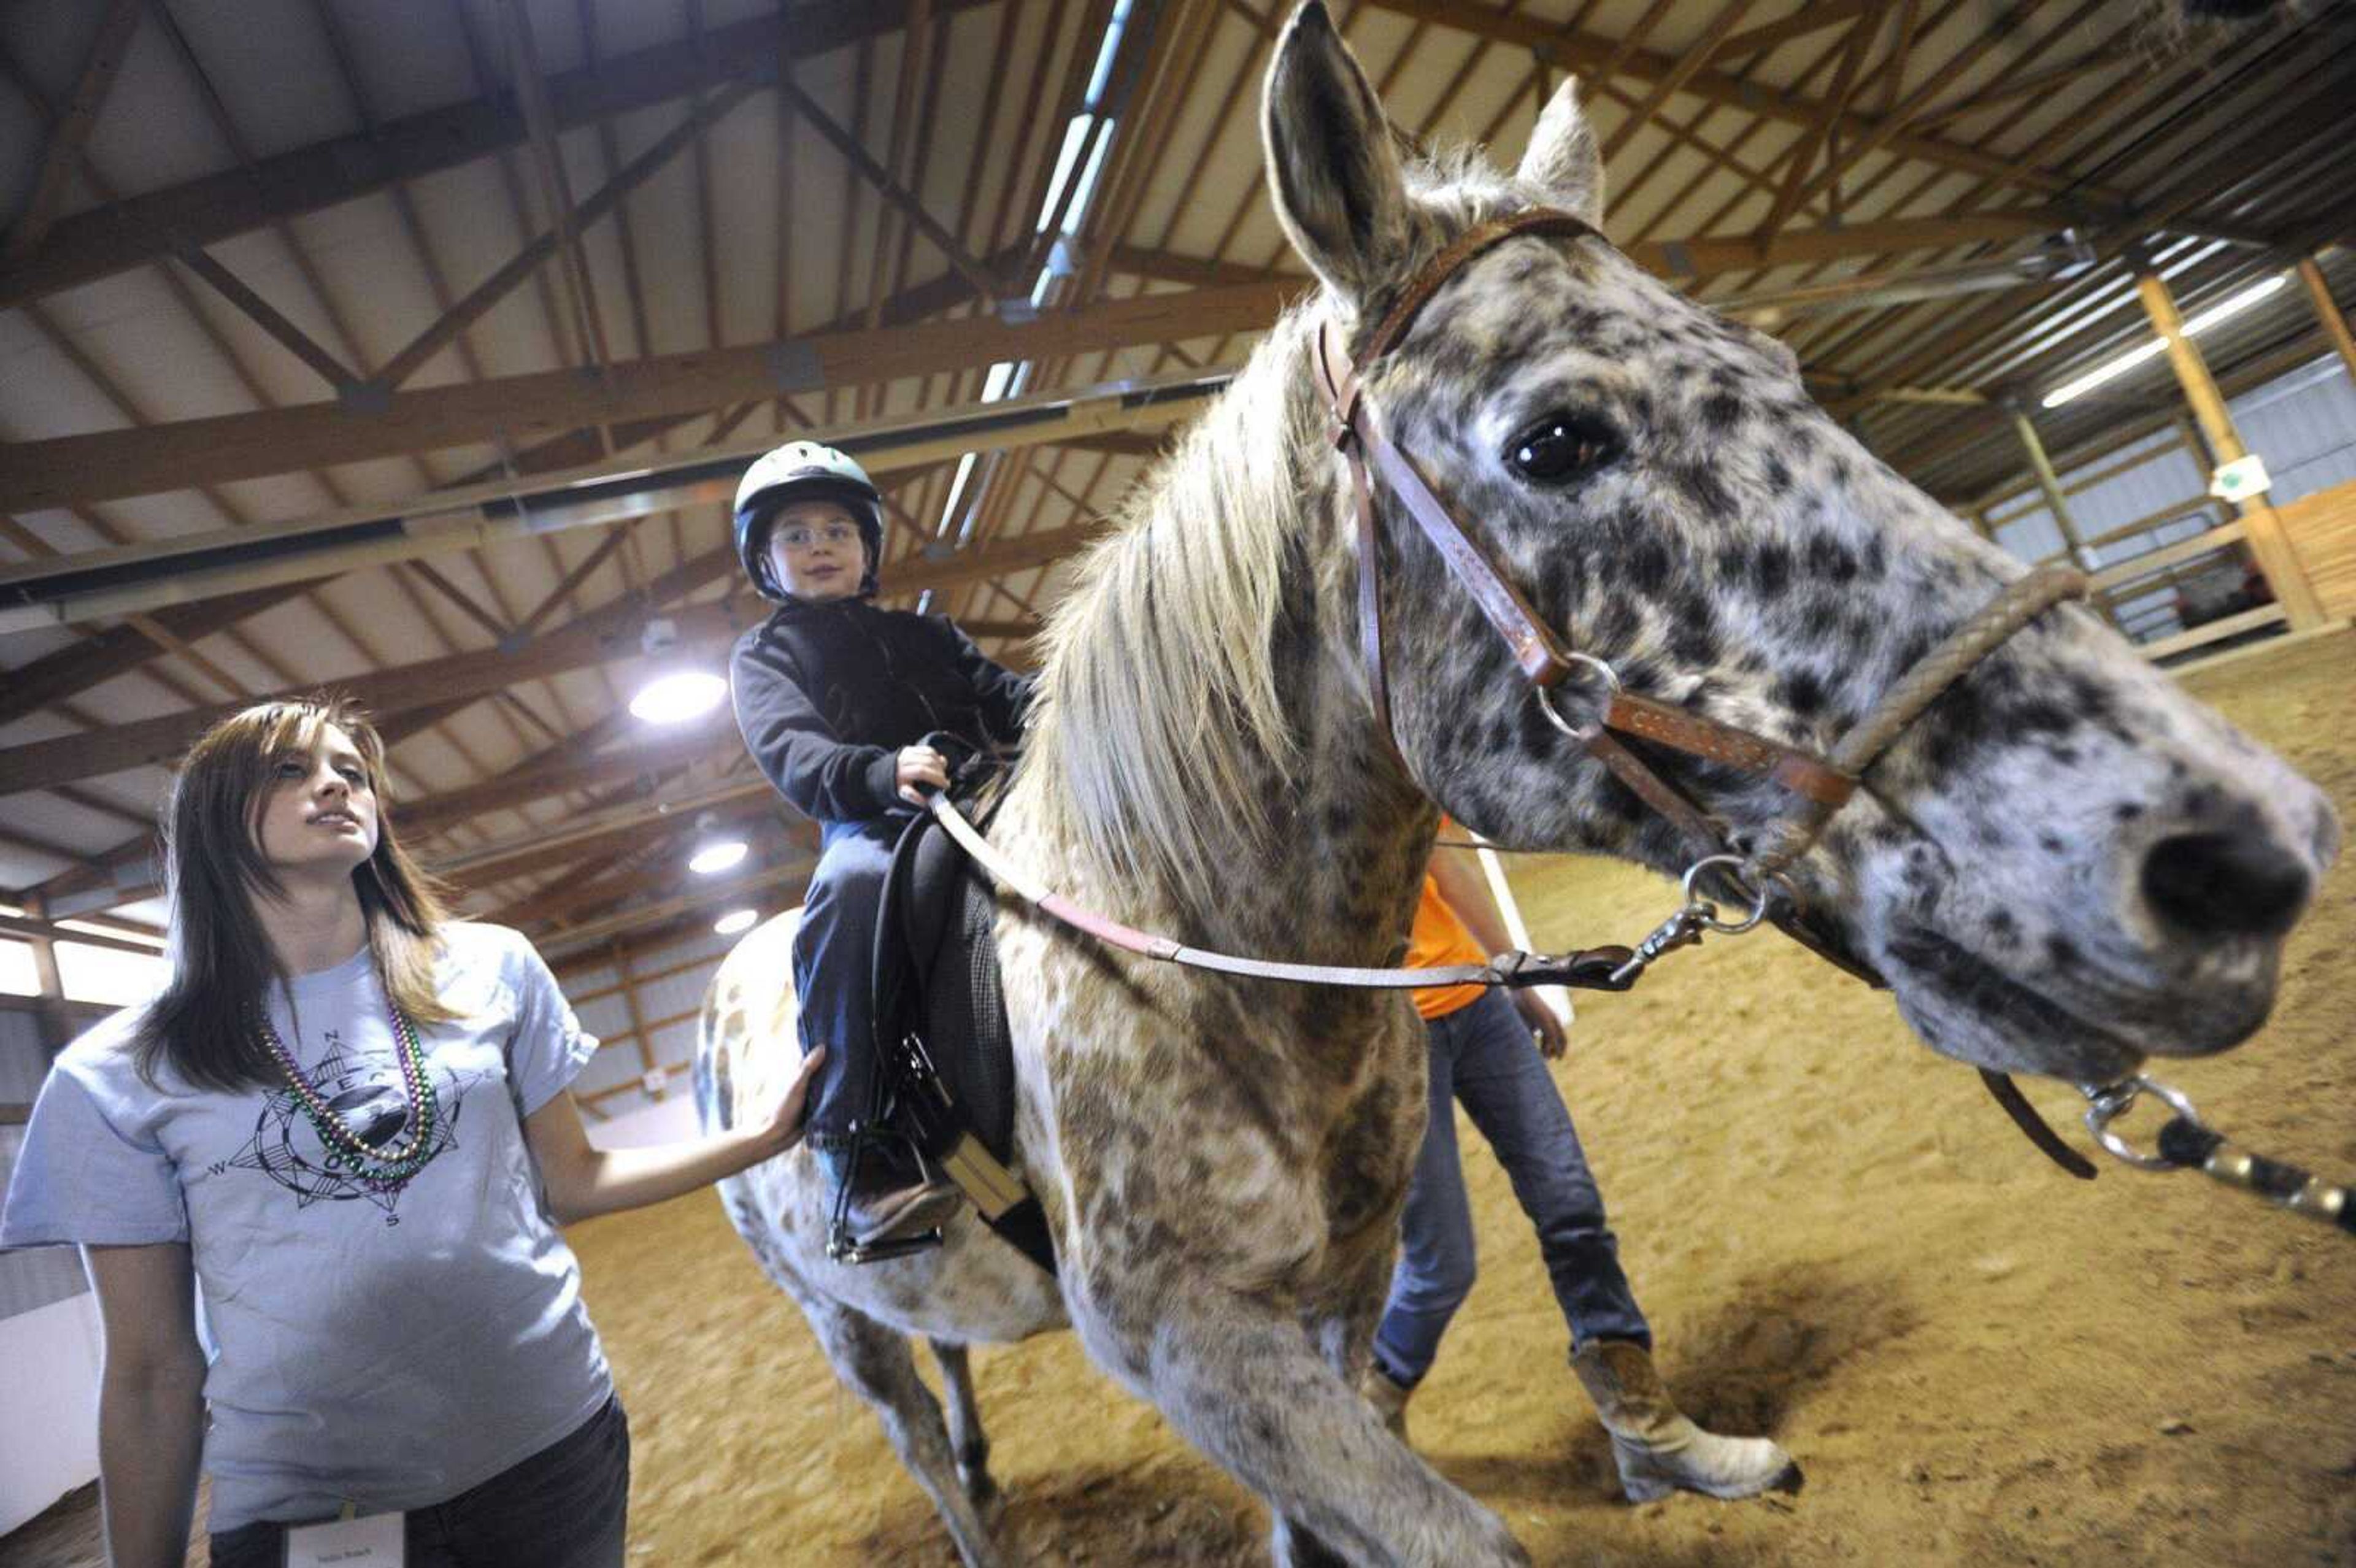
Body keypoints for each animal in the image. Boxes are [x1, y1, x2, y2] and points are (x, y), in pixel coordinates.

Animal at [692, 9, 2337, 1553]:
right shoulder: (1194, 1351)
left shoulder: (1335, 1303)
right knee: (922, 1444)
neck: (1195, 959)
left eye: (1787, 370)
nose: (2239, 856)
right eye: (1556, 440)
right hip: (840, 1326)